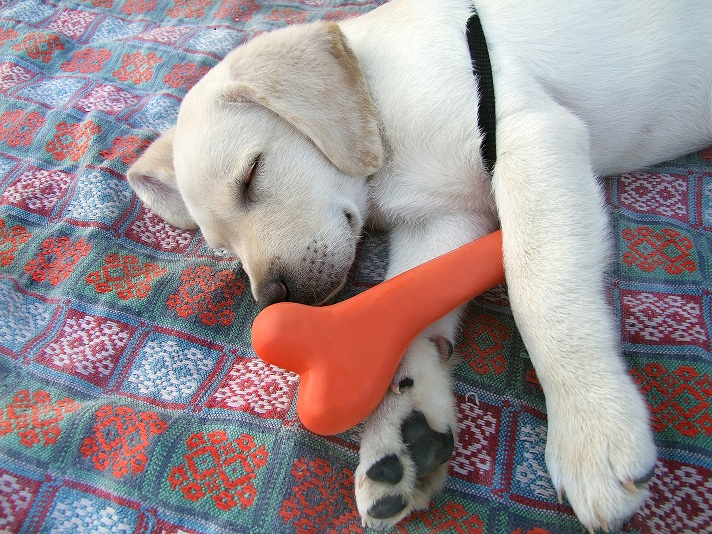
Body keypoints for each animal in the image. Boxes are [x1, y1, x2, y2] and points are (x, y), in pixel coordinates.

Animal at [128, 0, 712, 532]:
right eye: (223, 248)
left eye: (251, 175)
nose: (274, 297)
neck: (378, 104)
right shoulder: (441, 216)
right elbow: (409, 303)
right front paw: (401, 427)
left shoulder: (529, 135)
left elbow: (540, 289)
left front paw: (590, 423)